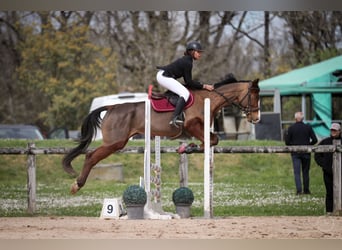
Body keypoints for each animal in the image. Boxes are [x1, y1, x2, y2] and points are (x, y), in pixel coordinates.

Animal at [62, 78, 260, 193]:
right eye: (254, 96)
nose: (256, 118)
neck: (208, 99)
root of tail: (111, 107)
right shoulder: (191, 125)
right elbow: (211, 139)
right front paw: (189, 147)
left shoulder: (201, 129)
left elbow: (212, 140)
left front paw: (189, 148)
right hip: (115, 142)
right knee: (90, 156)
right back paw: (76, 185)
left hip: (116, 142)